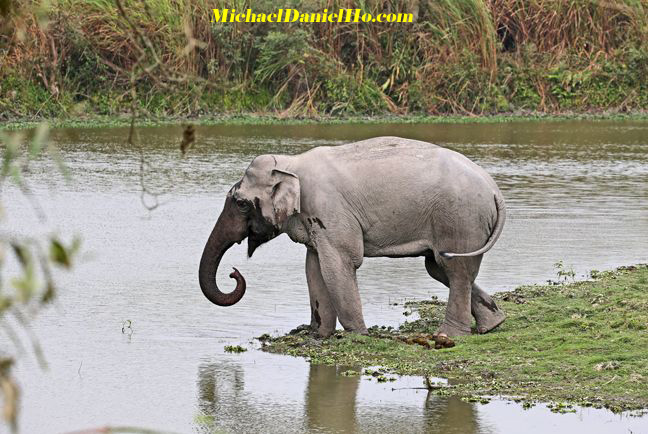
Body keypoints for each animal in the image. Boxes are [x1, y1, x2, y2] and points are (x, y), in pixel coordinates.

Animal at [197, 136, 506, 346]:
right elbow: (314, 267)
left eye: (240, 204)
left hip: (460, 218)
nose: (234, 272)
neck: (291, 163)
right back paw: (492, 324)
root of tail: (495, 191)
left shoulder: (330, 210)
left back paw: (447, 335)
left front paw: (358, 334)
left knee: (453, 269)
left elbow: (340, 264)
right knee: (440, 268)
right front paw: (317, 334)